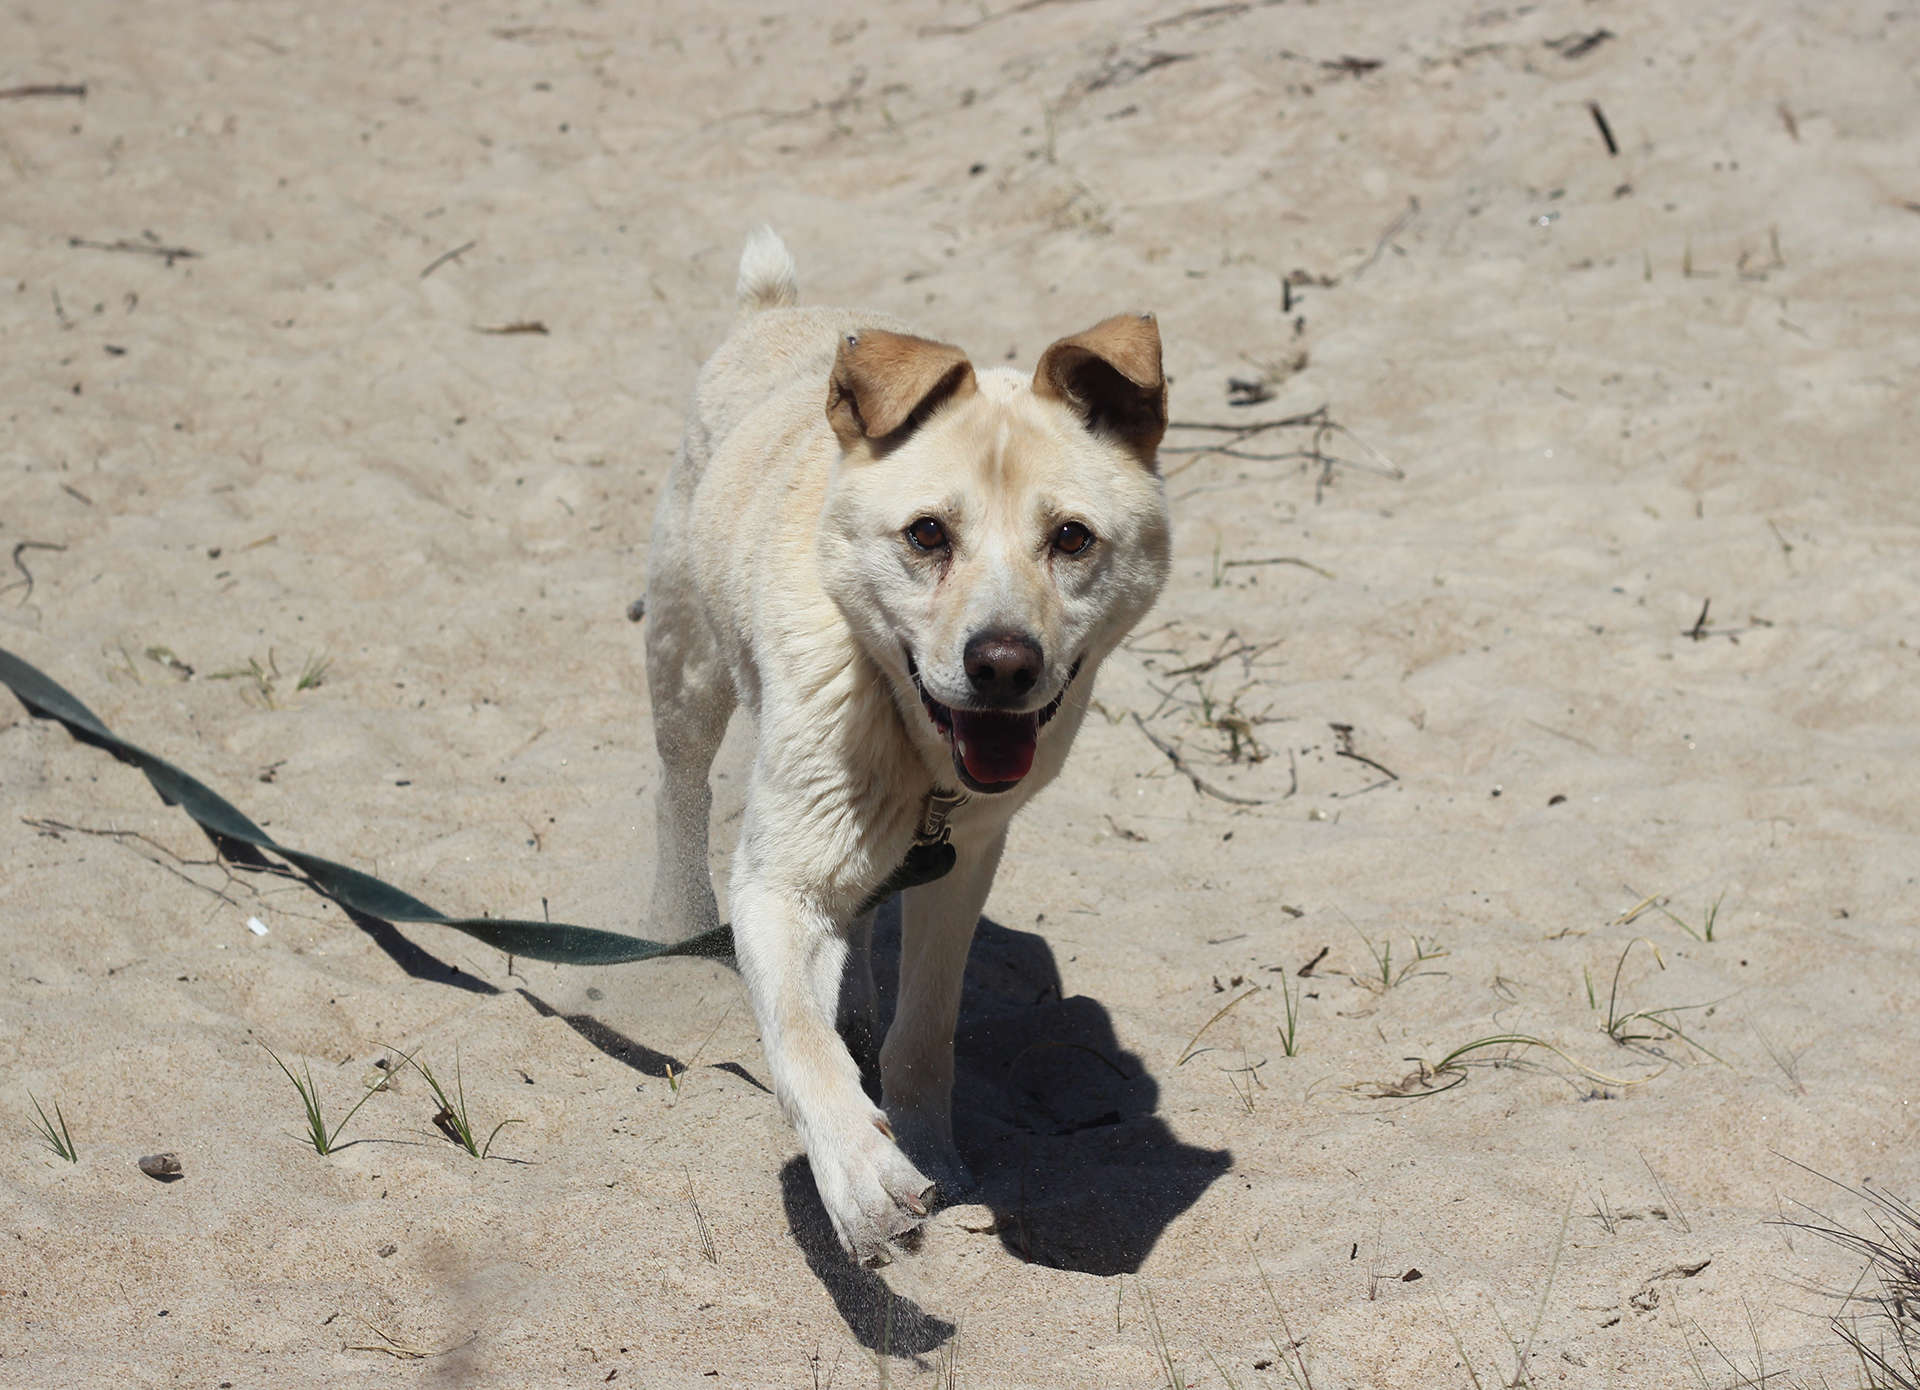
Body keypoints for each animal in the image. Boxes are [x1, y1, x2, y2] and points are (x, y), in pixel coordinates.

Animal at [643, 228, 1171, 1262]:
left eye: (1072, 538)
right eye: (927, 534)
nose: (1003, 664)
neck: (911, 741)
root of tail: (775, 311)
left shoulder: (964, 863)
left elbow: (925, 1033)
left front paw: (931, 1152)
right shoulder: (776, 883)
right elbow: (799, 1040)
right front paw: (861, 1178)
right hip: (685, 667)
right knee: (679, 791)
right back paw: (682, 922)